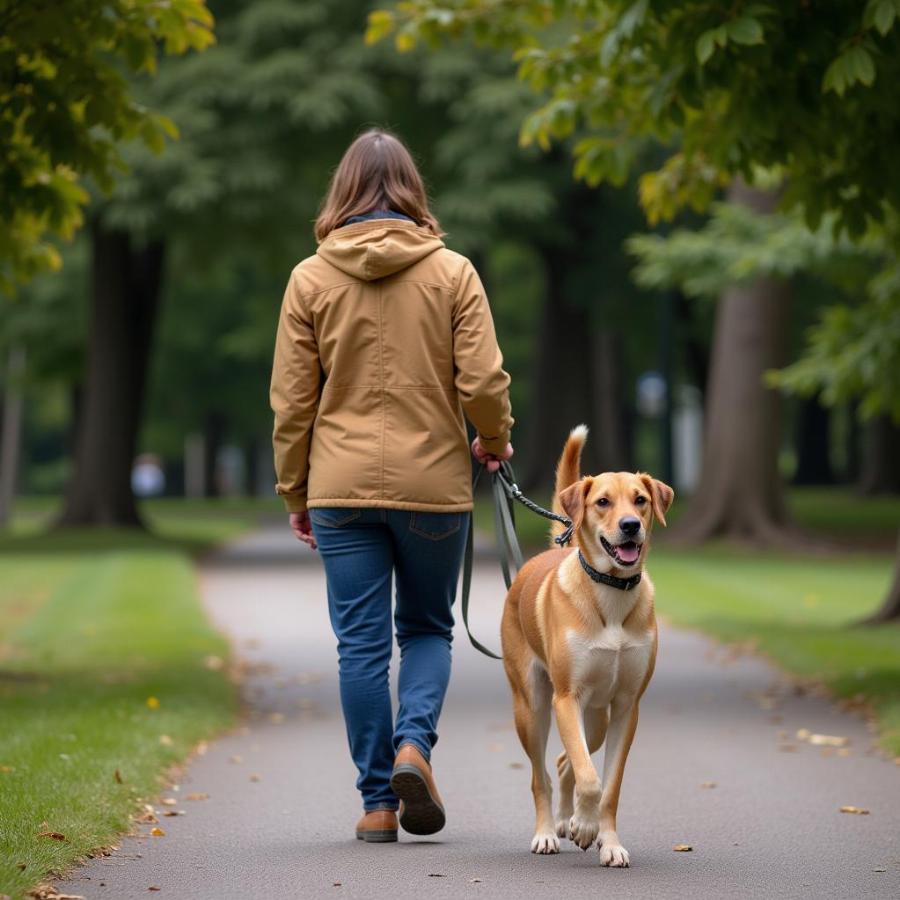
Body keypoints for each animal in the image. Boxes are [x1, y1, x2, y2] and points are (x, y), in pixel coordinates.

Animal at [502, 426, 672, 868]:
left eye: (640, 499)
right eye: (602, 502)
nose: (630, 526)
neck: (610, 594)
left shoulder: (626, 706)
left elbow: (607, 785)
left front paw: (606, 839)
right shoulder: (567, 698)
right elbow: (590, 778)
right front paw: (584, 825)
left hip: (596, 718)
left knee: (564, 762)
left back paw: (569, 819)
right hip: (533, 707)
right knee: (540, 775)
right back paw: (548, 831)